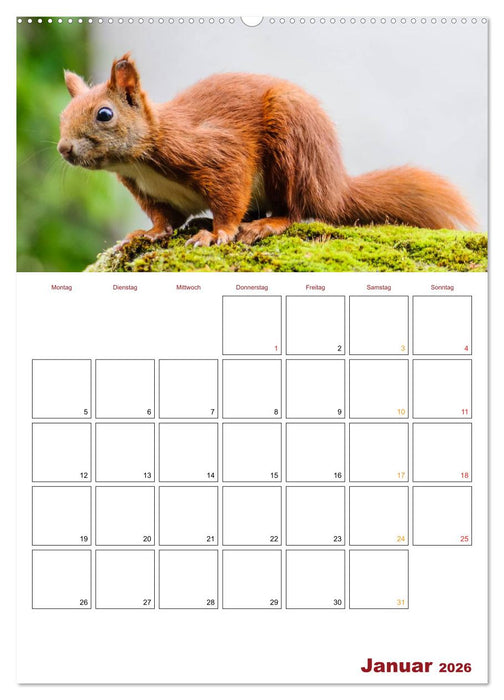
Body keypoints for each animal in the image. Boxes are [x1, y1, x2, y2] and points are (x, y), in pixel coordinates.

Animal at [58, 54, 476, 247]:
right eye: (62, 115)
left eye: (104, 114)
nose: (63, 148)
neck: (142, 162)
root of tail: (333, 186)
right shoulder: (148, 191)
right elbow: (165, 218)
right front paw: (149, 233)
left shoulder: (216, 152)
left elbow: (230, 192)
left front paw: (217, 233)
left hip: (293, 145)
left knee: (298, 209)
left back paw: (266, 223)